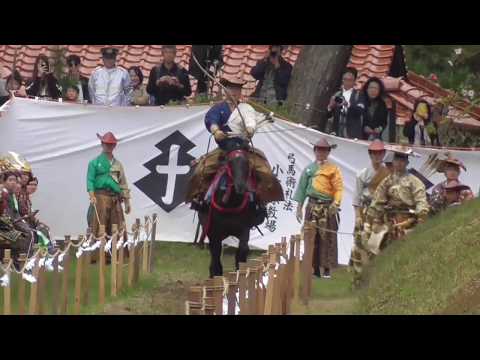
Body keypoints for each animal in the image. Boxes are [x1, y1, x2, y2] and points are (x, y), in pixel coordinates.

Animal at [195, 149, 266, 278]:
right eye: (230, 163)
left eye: (247, 163)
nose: (241, 186)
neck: (230, 204)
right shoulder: (214, 233)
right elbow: (216, 256)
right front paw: (215, 275)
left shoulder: (244, 230)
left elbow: (242, 252)